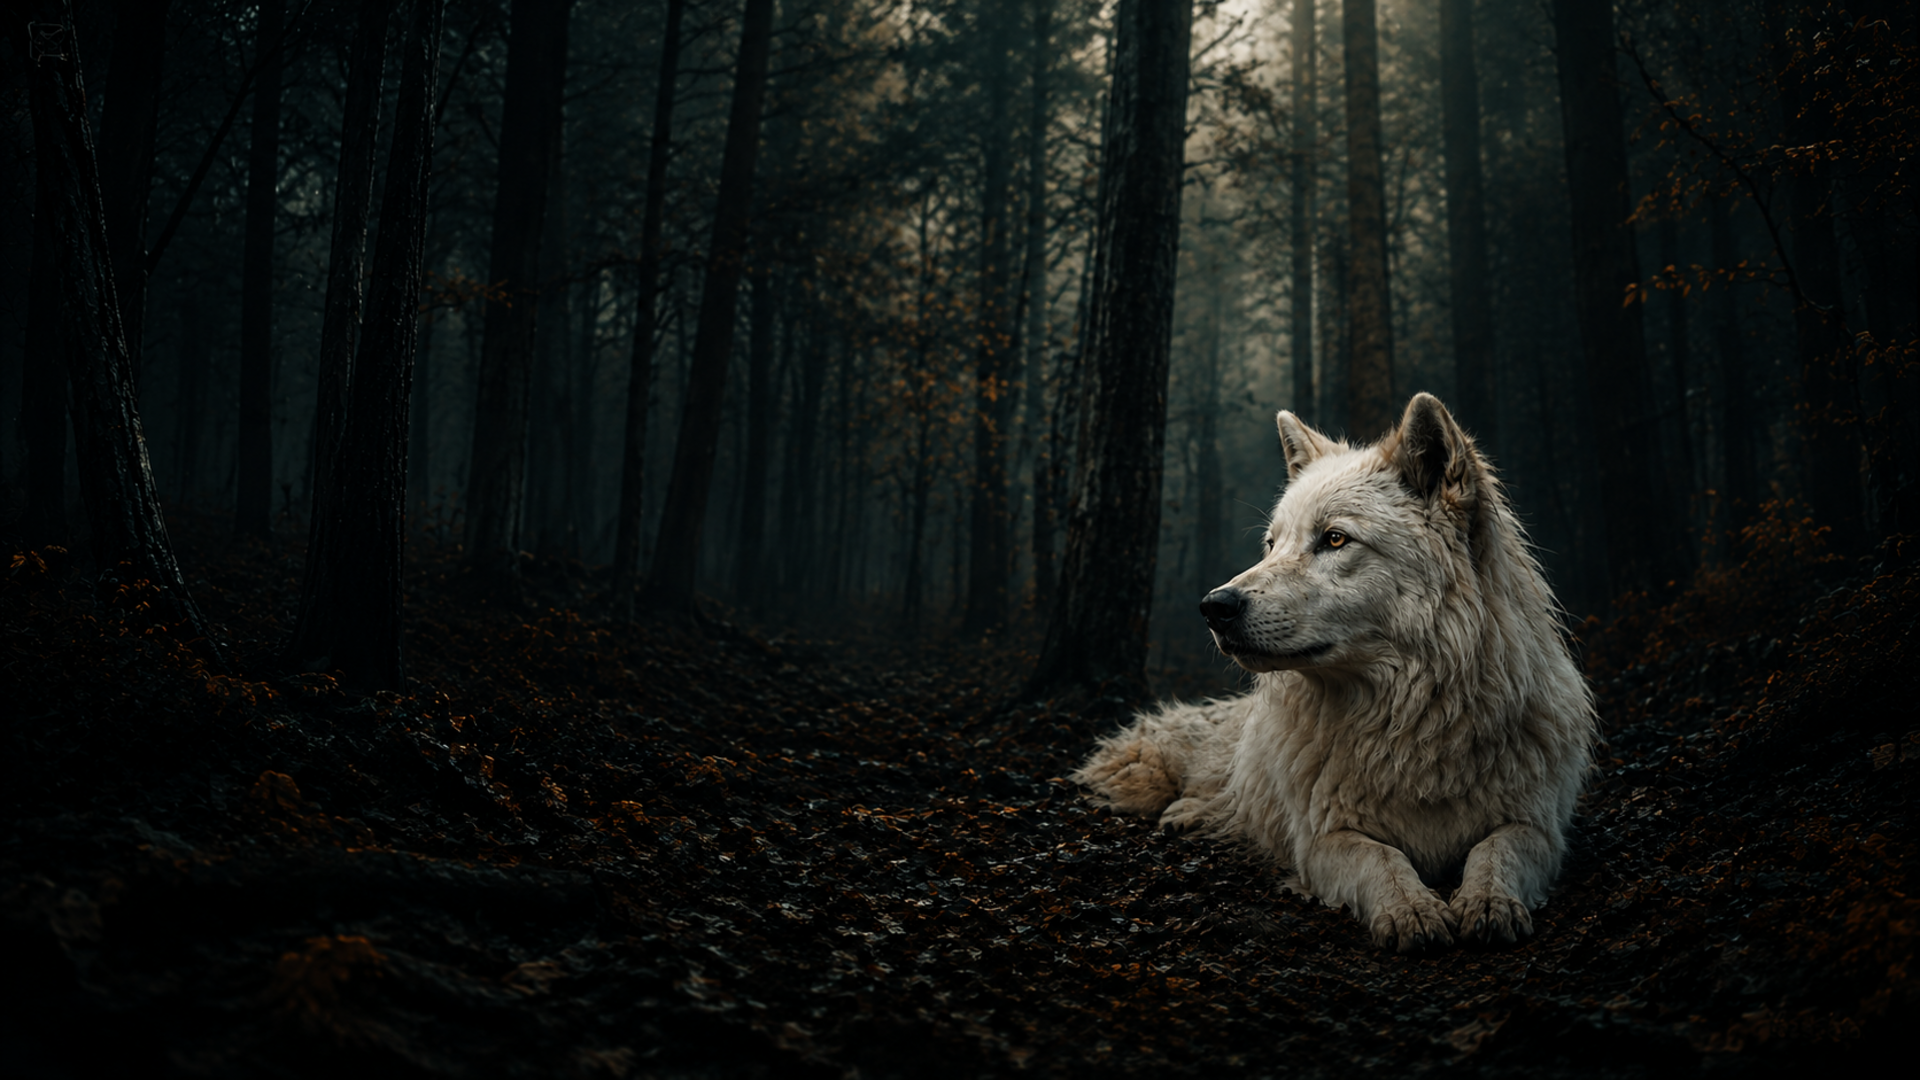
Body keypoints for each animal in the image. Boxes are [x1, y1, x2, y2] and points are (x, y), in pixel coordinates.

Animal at [1074, 393, 1596, 952]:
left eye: (1335, 539)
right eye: (1272, 544)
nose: (1214, 606)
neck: (1411, 725)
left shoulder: (1538, 827)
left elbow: (1496, 852)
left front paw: (1488, 902)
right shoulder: (1325, 839)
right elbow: (1382, 859)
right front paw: (1412, 910)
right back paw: (1191, 813)